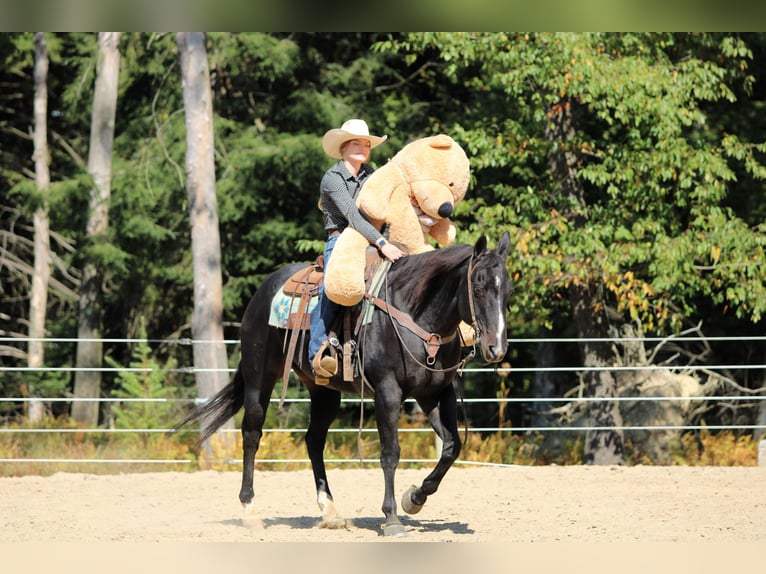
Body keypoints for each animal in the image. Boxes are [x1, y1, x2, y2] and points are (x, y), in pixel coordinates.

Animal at [175, 232, 512, 537]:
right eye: (478, 288)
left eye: (507, 292)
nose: (496, 348)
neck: (418, 316)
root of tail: (263, 290)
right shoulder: (388, 391)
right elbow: (391, 452)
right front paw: (391, 517)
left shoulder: (435, 394)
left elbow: (452, 448)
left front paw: (414, 498)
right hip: (260, 378)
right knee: (252, 434)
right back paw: (250, 510)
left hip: (323, 390)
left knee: (313, 440)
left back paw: (330, 510)